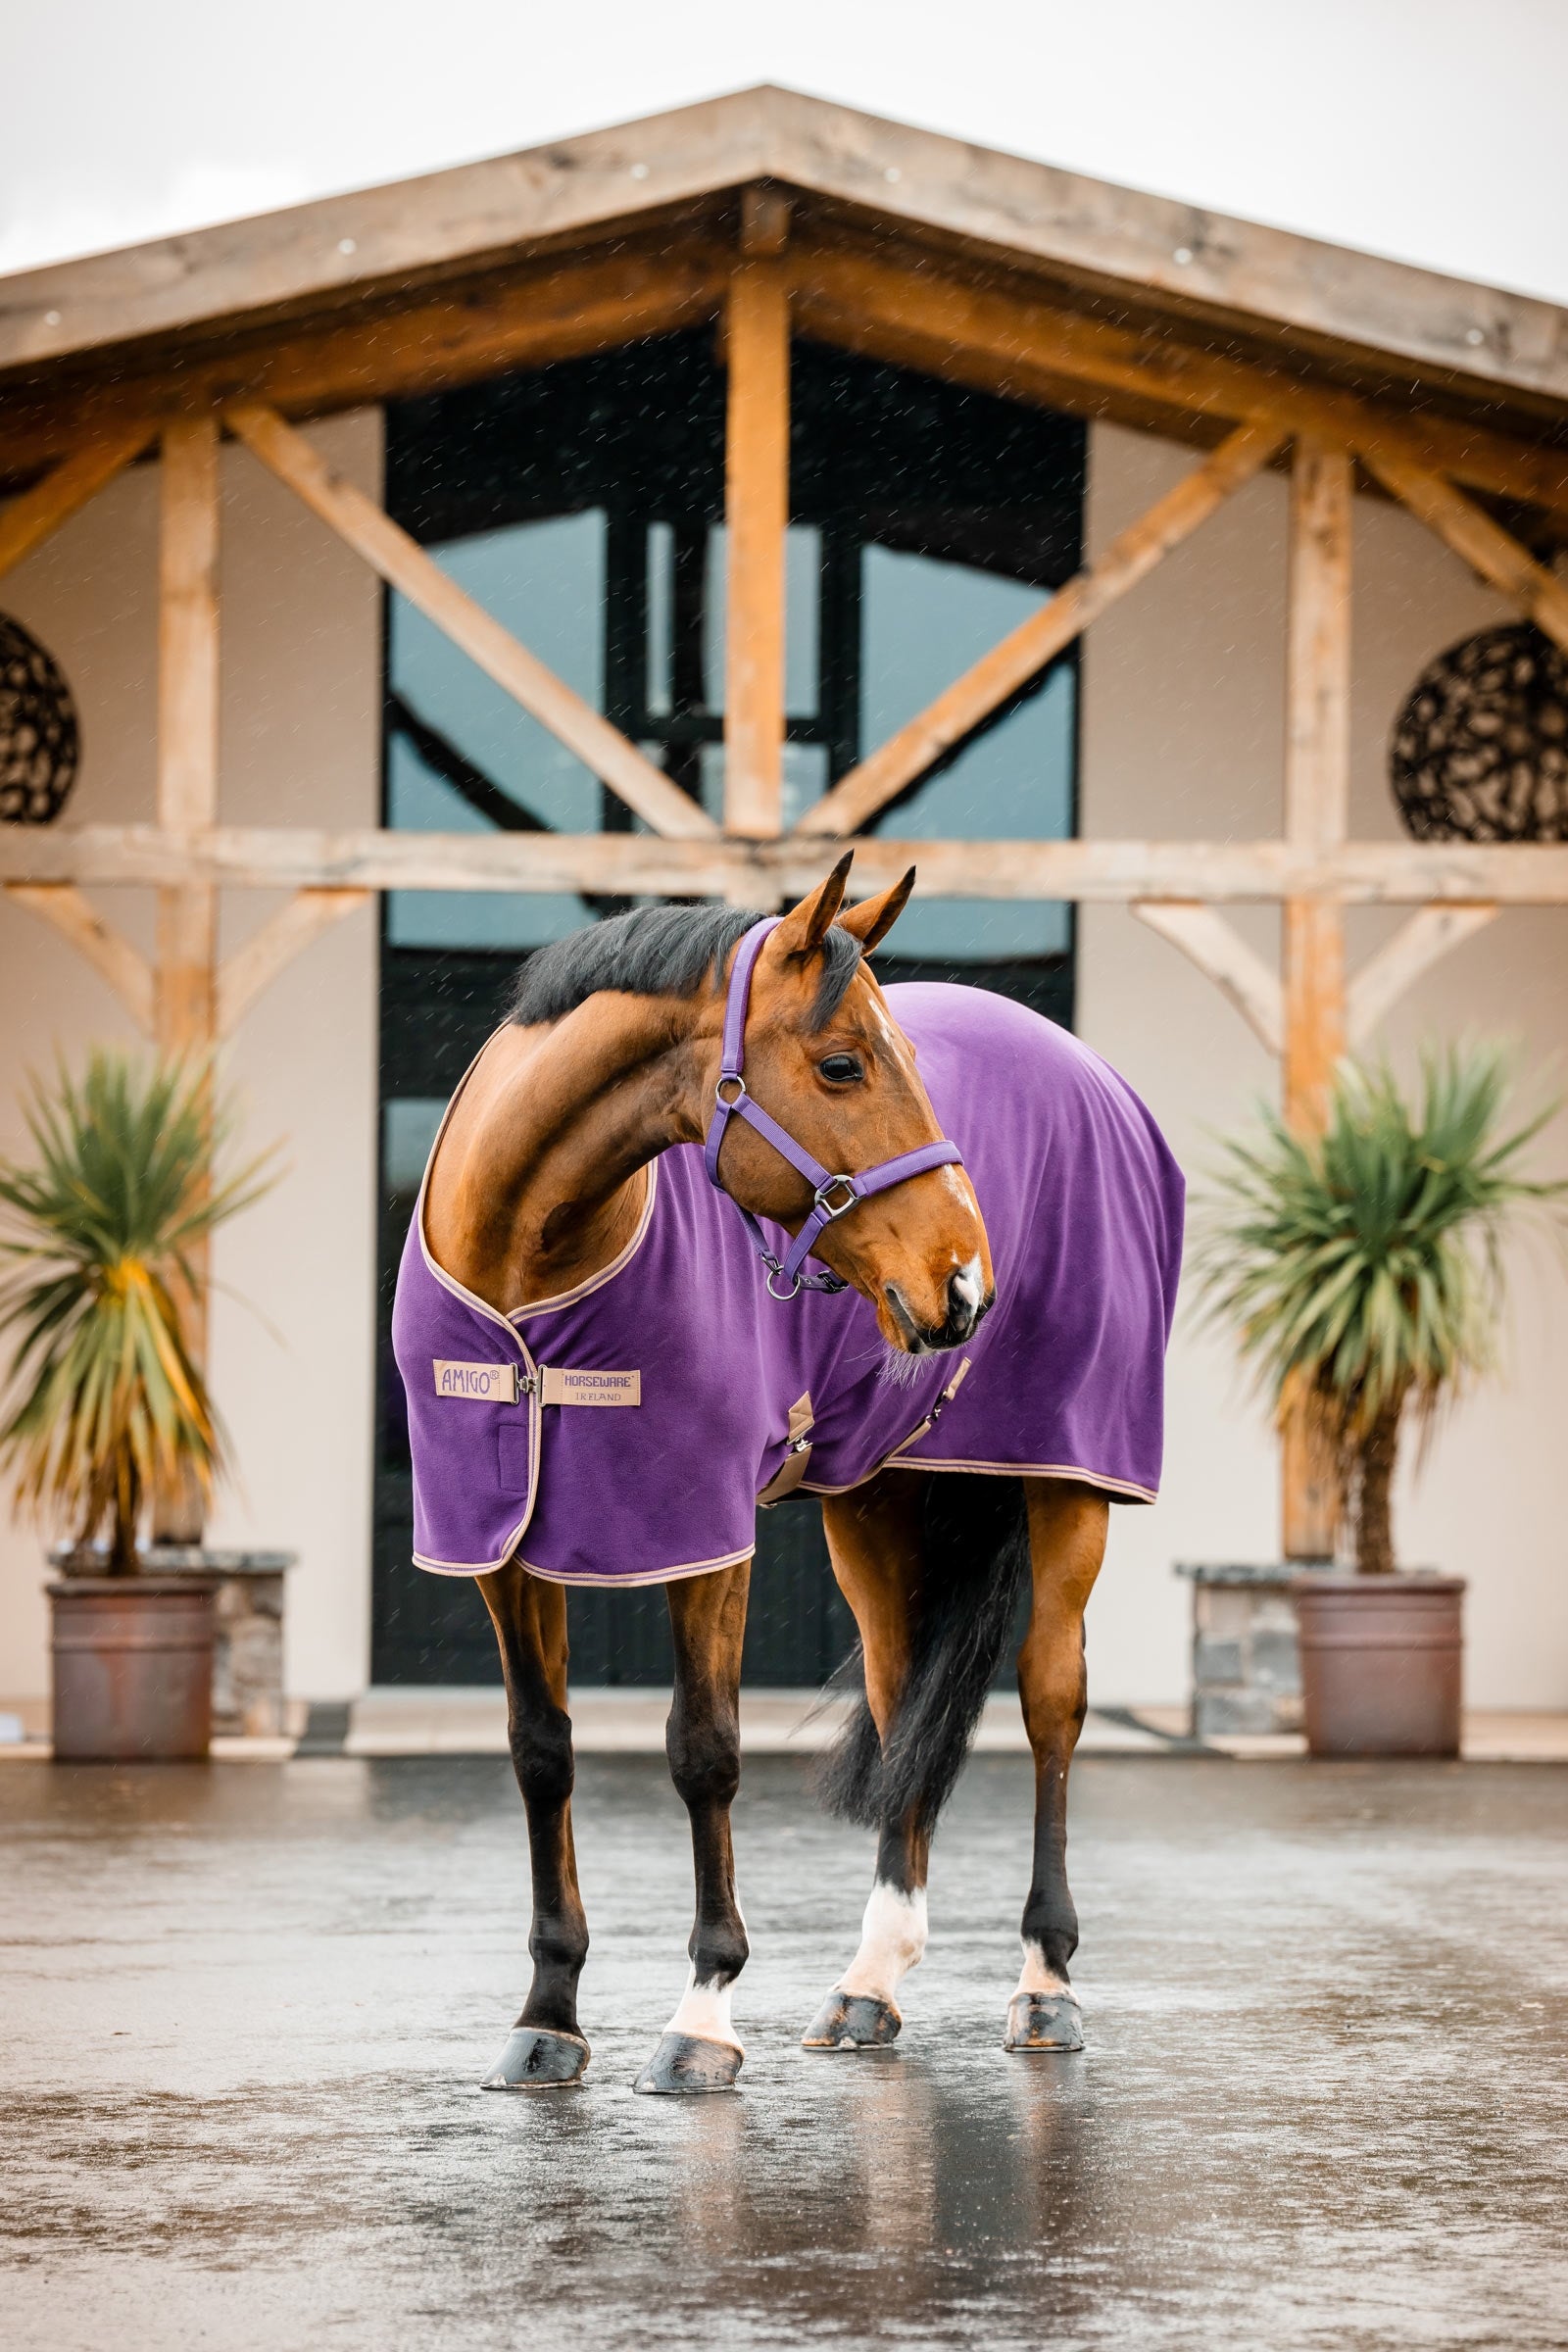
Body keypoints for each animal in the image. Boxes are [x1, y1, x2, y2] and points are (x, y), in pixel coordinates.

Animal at [393, 851, 1183, 2094]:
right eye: (844, 1063)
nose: (966, 1283)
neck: (532, 1261)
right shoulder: (501, 1544)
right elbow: (540, 1752)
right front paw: (548, 2013)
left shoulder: (701, 1530)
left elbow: (703, 1752)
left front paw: (703, 2014)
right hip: (876, 1502)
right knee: (902, 1705)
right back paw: (868, 1986)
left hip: (1071, 1483)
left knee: (1053, 1702)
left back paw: (1045, 1981)